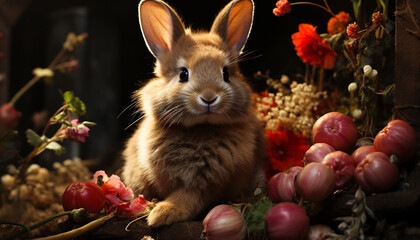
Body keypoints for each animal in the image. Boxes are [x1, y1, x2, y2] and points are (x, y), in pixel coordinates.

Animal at [122, 0, 266, 227]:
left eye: (226, 73)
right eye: (183, 74)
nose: (208, 97)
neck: (200, 127)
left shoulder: (205, 183)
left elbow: (188, 197)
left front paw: (162, 214)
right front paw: (156, 214)